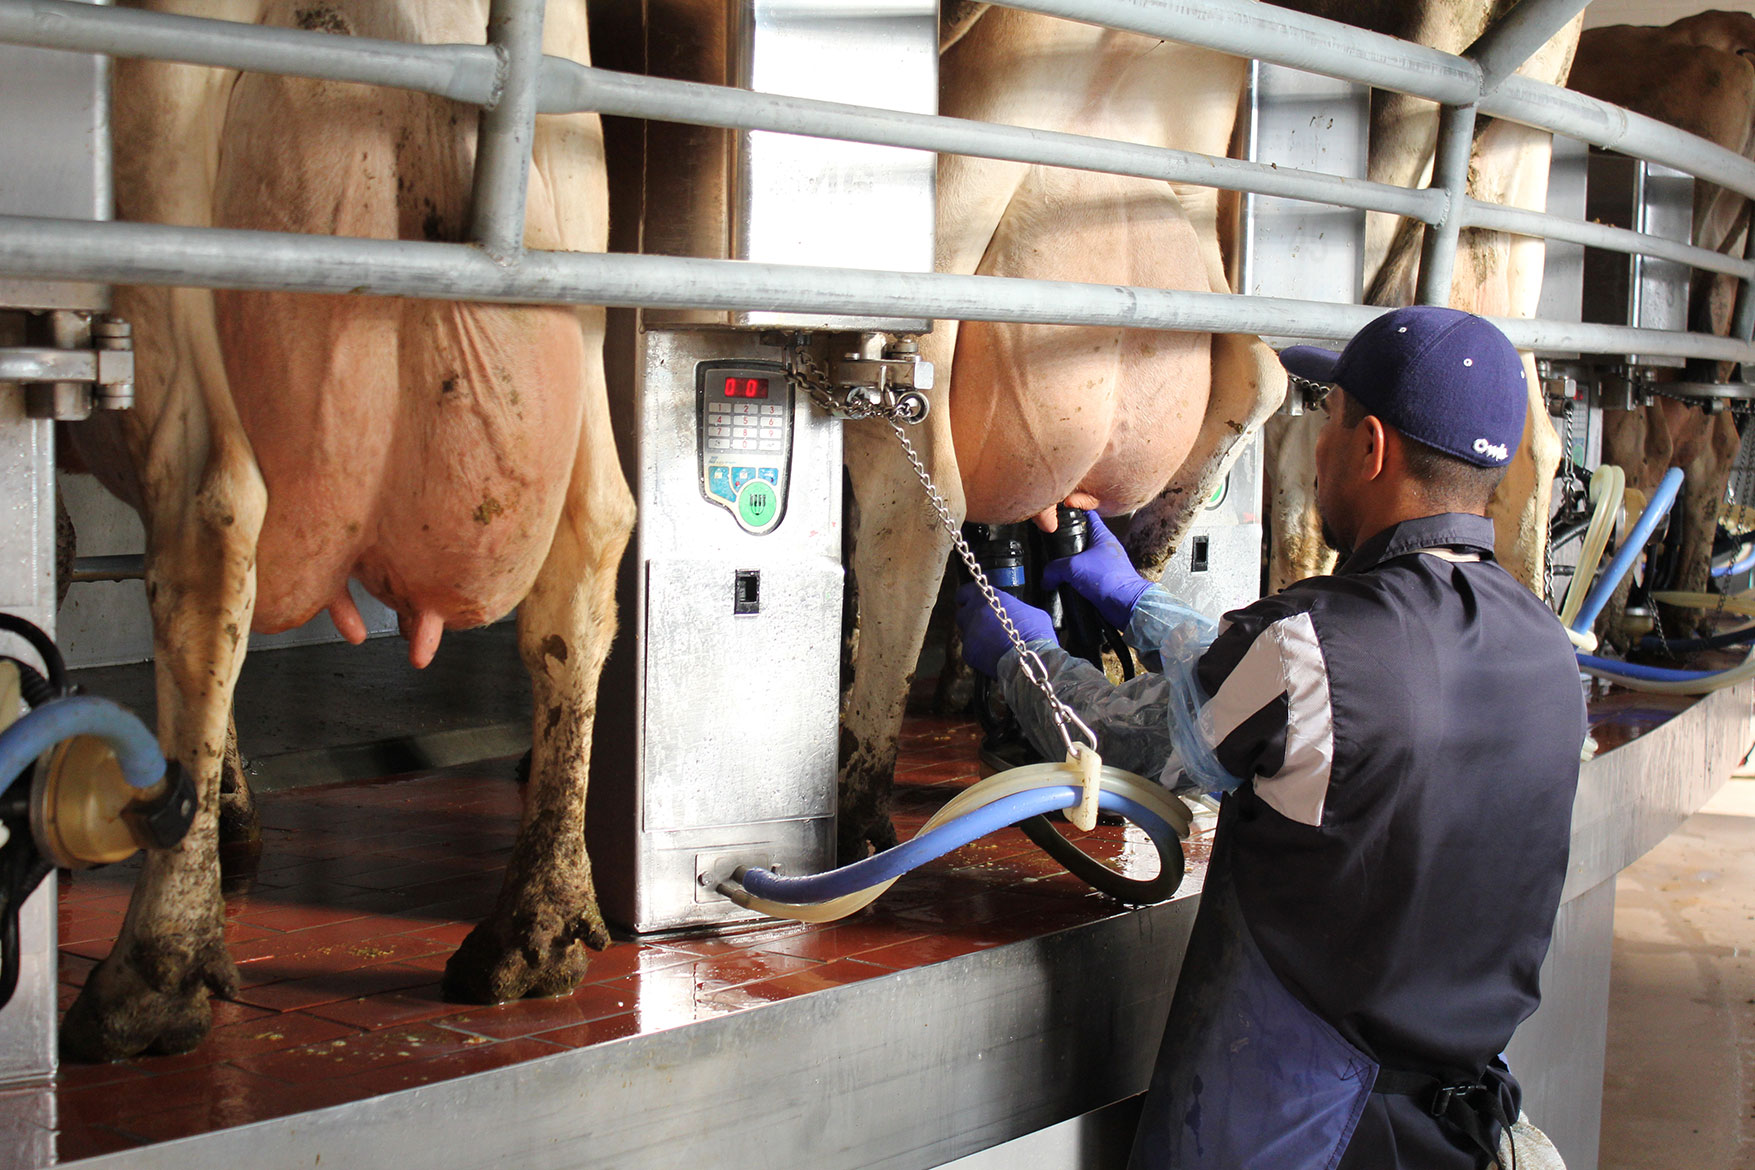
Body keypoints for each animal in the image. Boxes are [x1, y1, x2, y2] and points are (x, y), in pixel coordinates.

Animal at [60, 0, 631, 1059]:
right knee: (592, 546)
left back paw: (150, 978)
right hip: (582, 243)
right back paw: (532, 935)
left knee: (212, 519)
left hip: (157, 164)